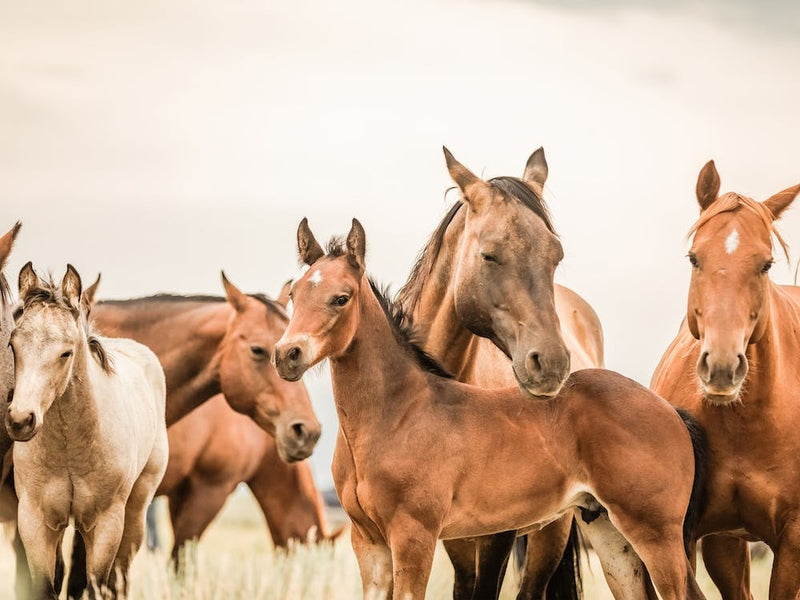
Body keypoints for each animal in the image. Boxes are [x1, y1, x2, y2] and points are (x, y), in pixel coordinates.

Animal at [7, 263, 168, 599]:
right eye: (13, 345)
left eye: (66, 353)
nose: (21, 420)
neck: (71, 446)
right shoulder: (35, 522)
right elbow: (47, 586)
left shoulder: (106, 523)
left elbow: (97, 585)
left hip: (135, 512)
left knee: (119, 578)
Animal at [273, 218, 707, 600]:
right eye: (294, 296)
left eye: (341, 298)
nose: (286, 355)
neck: (396, 414)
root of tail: (670, 410)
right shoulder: (369, 543)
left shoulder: (414, 537)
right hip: (609, 533)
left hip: (655, 533)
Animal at [396, 148, 605, 599]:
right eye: (489, 254)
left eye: (556, 255)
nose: (551, 363)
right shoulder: (456, 541)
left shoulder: (498, 536)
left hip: (551, 532)